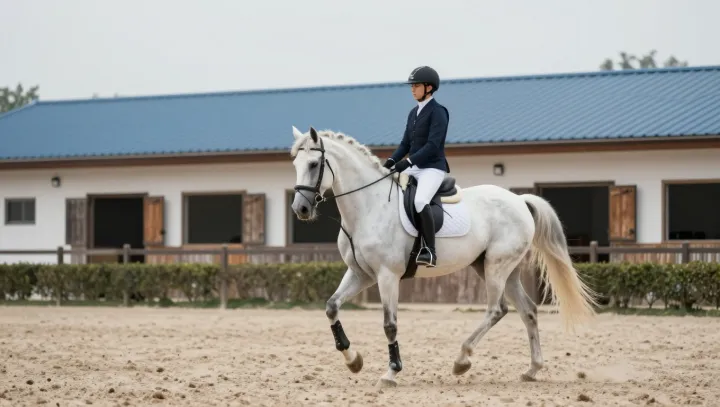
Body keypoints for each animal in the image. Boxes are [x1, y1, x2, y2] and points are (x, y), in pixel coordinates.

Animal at [289, 126, 598, 388]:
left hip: (496, 267)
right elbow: (331, 307)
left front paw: (391, 372)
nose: (300, 209)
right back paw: (532, 370)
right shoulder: (361, 274)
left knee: (497, 310)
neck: (369, 207)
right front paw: (353, 361)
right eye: (295, 165)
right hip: (500, 269)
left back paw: (462, 360)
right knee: (528, 311)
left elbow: (390, 325)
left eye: (314, 165)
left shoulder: (387, 276)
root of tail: (520, 200)